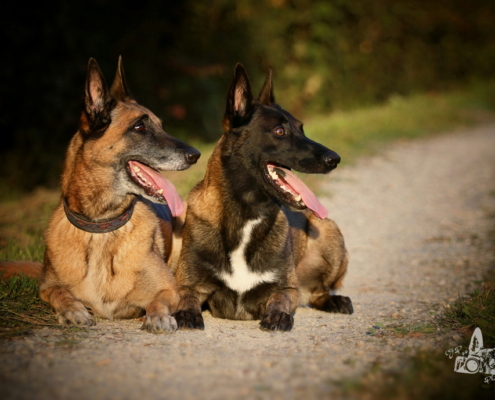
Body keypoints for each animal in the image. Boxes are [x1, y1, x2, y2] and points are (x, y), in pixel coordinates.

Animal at [5, 58, 200, 334]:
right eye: (139, 126)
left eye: (161, 126)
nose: (196, 155)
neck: (101, 228)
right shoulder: (47, 287)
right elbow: (59, 293)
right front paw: (73, 310)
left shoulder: (169, 288)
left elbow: (158, 301)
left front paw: (158, 317)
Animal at [174, 63, 352, 332]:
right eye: (279, 131)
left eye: (301, 129)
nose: (335, 159)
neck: (246, 211)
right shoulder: (189, 284)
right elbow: (185, 297)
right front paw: (186, 312)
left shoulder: (286, 288)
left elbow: (280, 299)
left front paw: (278, 315)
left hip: (328, 231)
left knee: (318, 292)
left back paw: (336, 301)